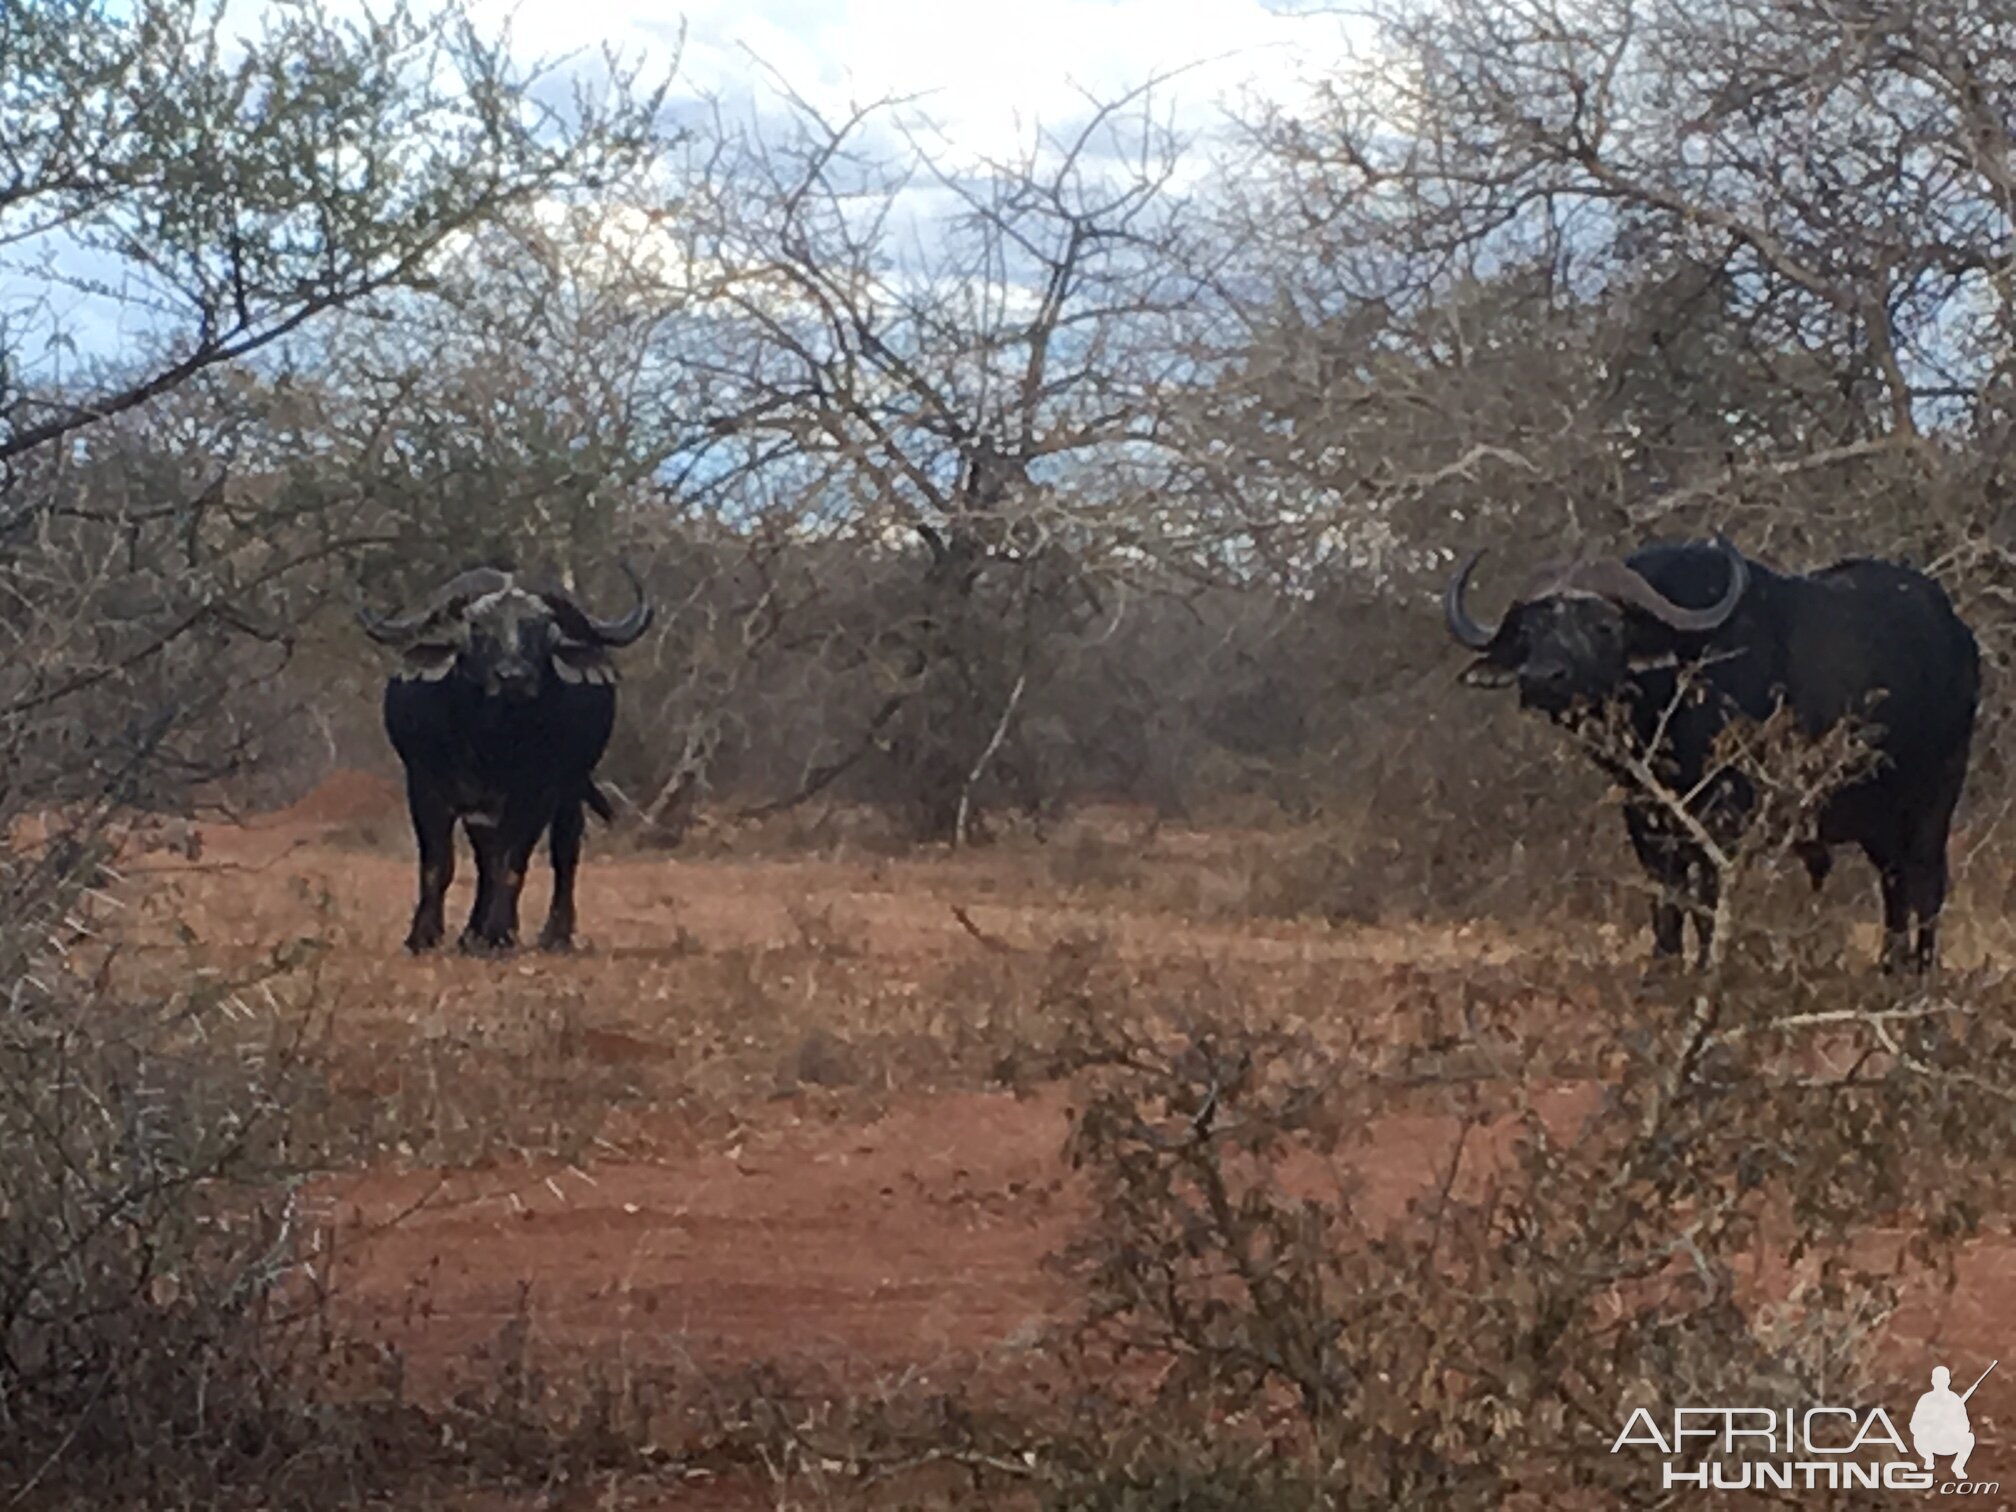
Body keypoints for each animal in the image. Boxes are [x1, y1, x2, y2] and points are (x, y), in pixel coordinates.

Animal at [358, 564, 649, 963]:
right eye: (479, 627)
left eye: (540, 627)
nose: (513, 676)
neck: (491, 740)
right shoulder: (424, 784)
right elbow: (438, 864)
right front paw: (423, 936)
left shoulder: (538, 791)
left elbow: (512, 863)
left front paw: (498, 935)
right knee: (486, 855)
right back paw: (470, 934)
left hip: (572, 785)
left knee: (564, 848)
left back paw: (553, 934)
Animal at [1451, 540, 1983, 975]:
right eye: (1528, 630)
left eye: (1603, 626)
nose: (1541, 678)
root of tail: (1960, 637)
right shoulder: (1644, 817)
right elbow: (1666, 896)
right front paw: (1661, 970)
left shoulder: (1723, 817)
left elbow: (1707, 898)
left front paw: (1707, 964)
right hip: (1878, 819)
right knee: (1894, 882)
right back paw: (1889, 965)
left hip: (1934, 799)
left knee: (1926, 882)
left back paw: (1921, 969)